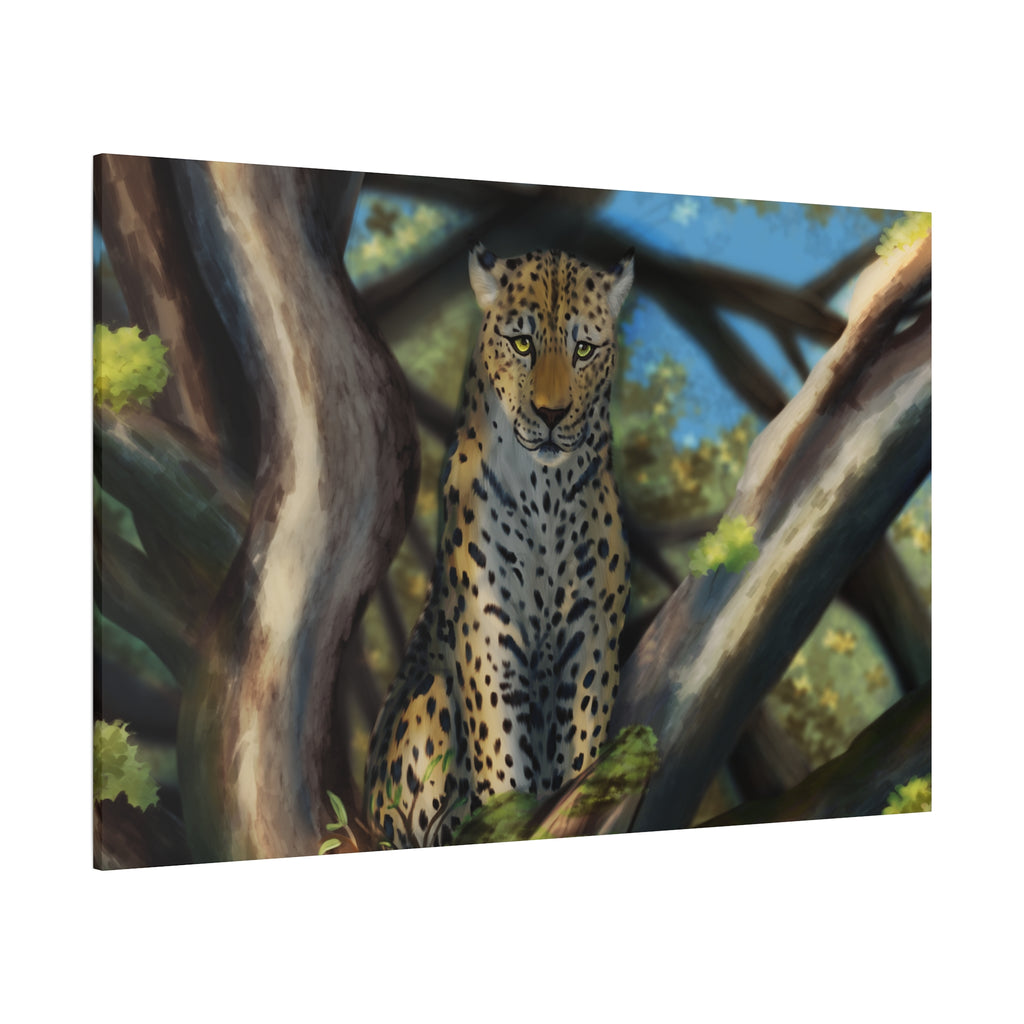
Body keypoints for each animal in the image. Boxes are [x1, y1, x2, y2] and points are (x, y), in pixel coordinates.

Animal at [364, 242, 634, 849]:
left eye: (584, 349)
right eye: (522, 343)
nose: (552, 415)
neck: (546, 492)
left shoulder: (592, 629)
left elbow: (582, 737)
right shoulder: (488, 631)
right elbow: (500, 747)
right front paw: (511, 814)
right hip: (428, 703)